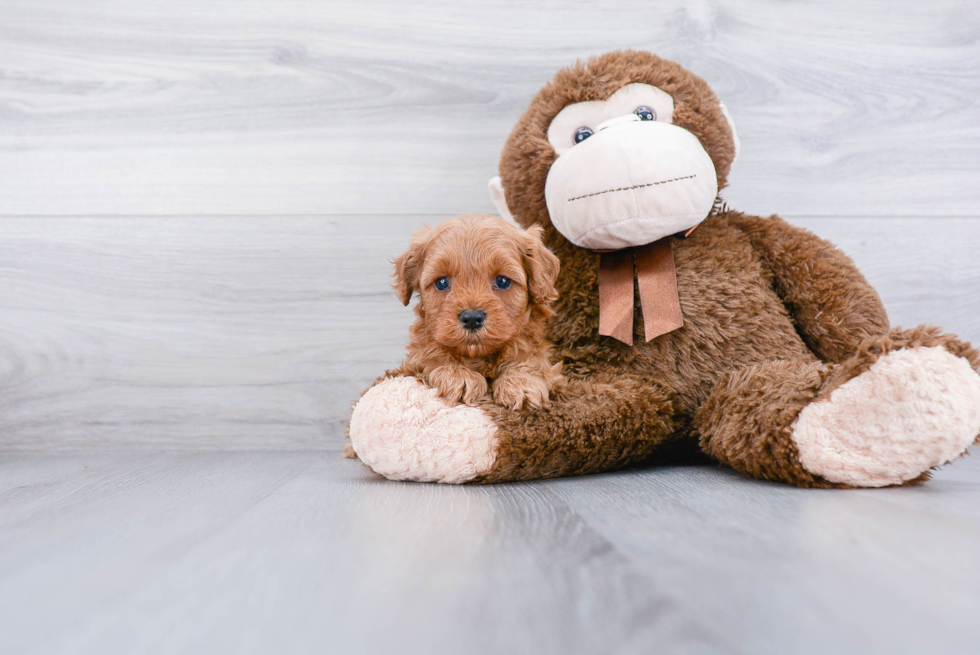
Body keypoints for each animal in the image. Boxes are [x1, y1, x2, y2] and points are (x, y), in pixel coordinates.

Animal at [390, 215, 560, 410]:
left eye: (503, 281)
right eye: (441, 282)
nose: (472, 318)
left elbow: (531, 359)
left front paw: (521, 382)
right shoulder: (416, 359)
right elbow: (432, 354)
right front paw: (458, 374)